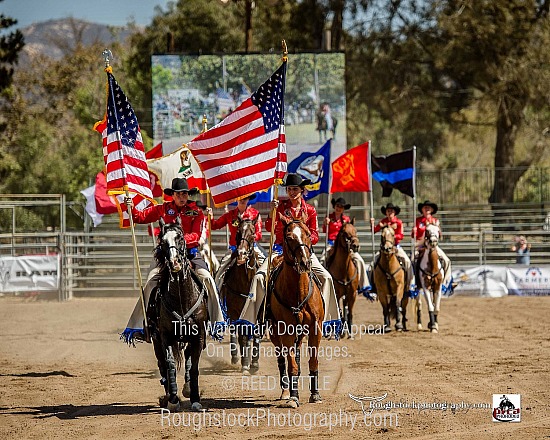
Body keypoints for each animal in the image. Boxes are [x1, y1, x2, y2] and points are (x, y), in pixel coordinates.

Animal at [150, 220, 208, 412]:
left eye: (180, 238)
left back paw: (188, 389)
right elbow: (170, 365)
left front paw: (195, 399)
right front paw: (173, 398)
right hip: (156, 341)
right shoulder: (165, 336)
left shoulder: (198, 337)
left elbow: (194, 366)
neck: (182, 298)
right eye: (162, 242)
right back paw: (168, 394)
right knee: (162, 366)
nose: (174, 262)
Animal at [220, 215, 264, 372]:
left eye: (253, 233)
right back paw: (236, 357)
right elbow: (241, 336)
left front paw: (254, 363)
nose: (241, 254)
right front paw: (245, 363)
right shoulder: (234, 312)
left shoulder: (258, 312)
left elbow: (255, 333)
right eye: (238, 232)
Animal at [270, 216, 326, 410]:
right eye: (289, 237)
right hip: (274, 333)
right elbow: (291, 365)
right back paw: (286, 391)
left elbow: (313, 361)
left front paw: (315, 394)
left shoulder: (316, 328)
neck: (298, 292)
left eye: (308, 234)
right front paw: (293, 398)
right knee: (282, 359)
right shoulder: (286, 330)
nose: (304, 262)